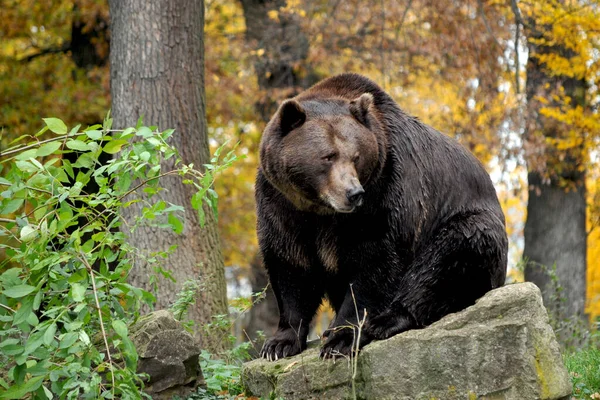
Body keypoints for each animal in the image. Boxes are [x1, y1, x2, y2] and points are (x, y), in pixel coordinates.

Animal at [255, 72, 508, 360]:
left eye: (356, 156)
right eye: (328, 156)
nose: (353, 193)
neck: (321, 210)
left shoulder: (383, 195)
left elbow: (375, 265)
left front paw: (341, 339)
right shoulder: (282, 206)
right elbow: (291, 268)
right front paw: (279, 344)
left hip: (468, 221)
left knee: (447, 257)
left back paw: (387, 320)